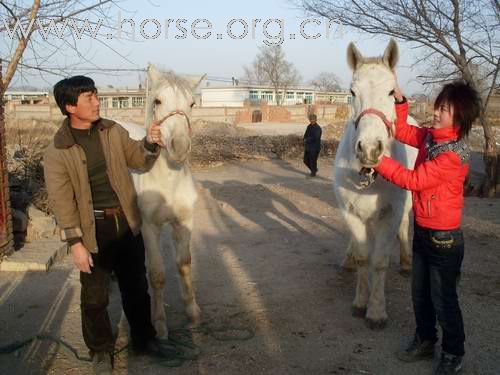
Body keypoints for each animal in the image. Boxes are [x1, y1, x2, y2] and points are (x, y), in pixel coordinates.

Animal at [118, 64, 202, 338]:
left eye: (192, 103)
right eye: (157, 101)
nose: (179, 146)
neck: (168, 181)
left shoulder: (184, 223)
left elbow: (184, 265)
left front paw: (192, 313)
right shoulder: (149, 228)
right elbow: (156, 274)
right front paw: (159, 323)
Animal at [332, 39, 418, 330]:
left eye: (391, 91)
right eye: (351, 92)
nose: (369, 149)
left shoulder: (390, 213)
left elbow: (379, 262)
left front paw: (376, 311)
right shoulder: (350, 211)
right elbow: (362, 257)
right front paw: (360, 302)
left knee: (404, 227)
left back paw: (406, 263)